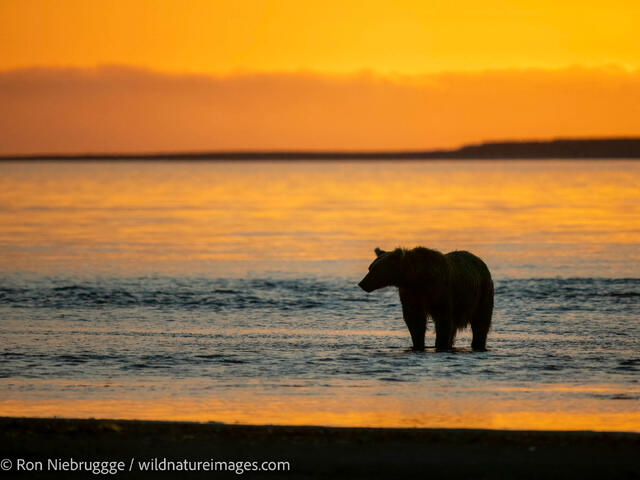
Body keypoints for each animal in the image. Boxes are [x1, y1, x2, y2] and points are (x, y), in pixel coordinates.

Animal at [358, 247, 493, 352]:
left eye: (375, 269)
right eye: (370, 267)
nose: (362, 283)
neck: (416, 278)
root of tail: (480, 261)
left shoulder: (440, 291)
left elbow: (443, 320)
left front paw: (440, 344)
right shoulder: (411, 295)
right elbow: (415, 320)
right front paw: (418, 343)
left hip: (481, 294)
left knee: (481, 322)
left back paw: (477, 343)